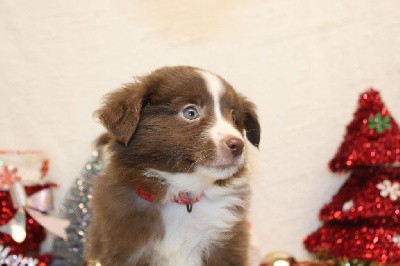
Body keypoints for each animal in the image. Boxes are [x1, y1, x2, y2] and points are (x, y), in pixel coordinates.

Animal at [86, 65, 260, 264]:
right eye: (190, 113)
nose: (238, 145)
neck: (183, 195)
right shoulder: (124, 249)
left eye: (233, 117)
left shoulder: (227, 247)